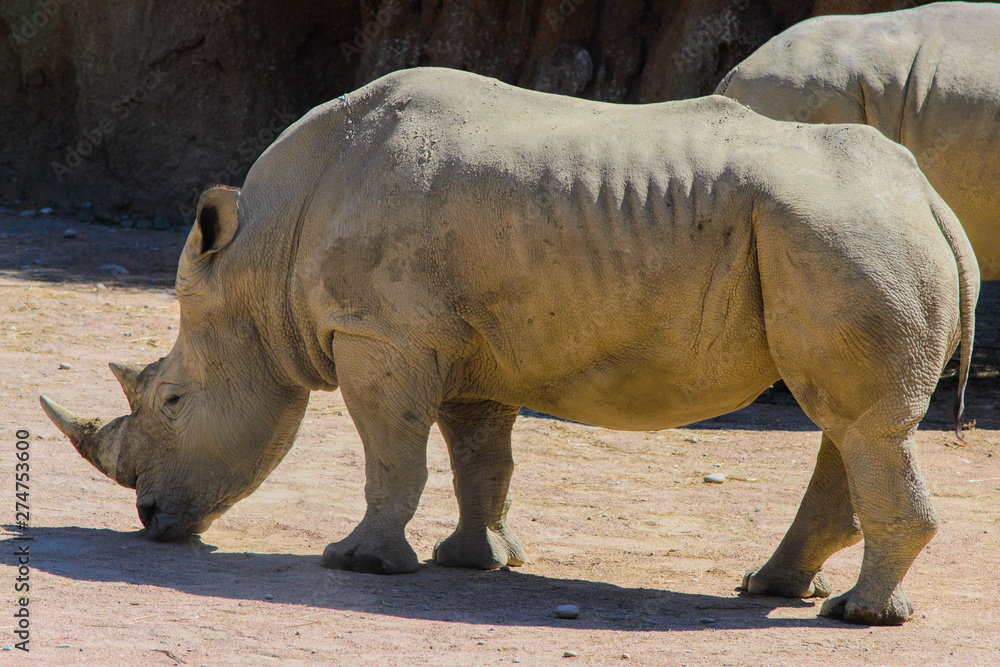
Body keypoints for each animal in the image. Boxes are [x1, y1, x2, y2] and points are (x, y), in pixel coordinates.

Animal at [41, 67, 977, 626]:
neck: (262, 254)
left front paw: (359, 562)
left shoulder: (378, 330)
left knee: (859, 424)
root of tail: (931, 198)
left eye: (171, 401)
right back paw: (774, 588)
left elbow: (392, 453)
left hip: (841, 232)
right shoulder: (461, 345)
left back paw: (856, 614)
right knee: (847, 424)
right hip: (837, 233)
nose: (149, 519)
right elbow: (477, 455)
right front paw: (473, 560)